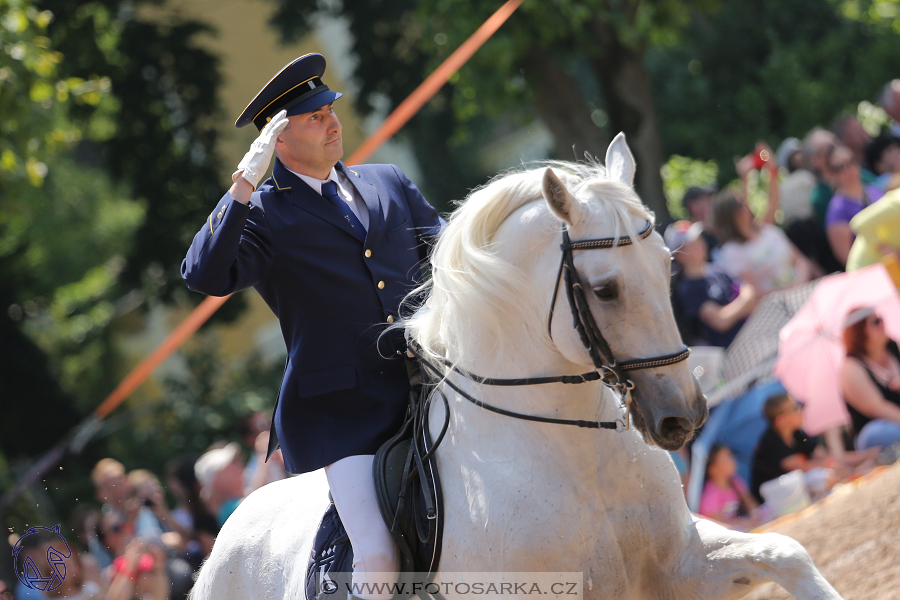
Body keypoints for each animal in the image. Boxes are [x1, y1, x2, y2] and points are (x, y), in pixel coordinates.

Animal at [192, 135, 844, 600]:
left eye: (668, 266)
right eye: (604, 290)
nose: (683, 415)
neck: (575, 455)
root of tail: (220, 545)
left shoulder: (678, 569)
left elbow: (785, 552)